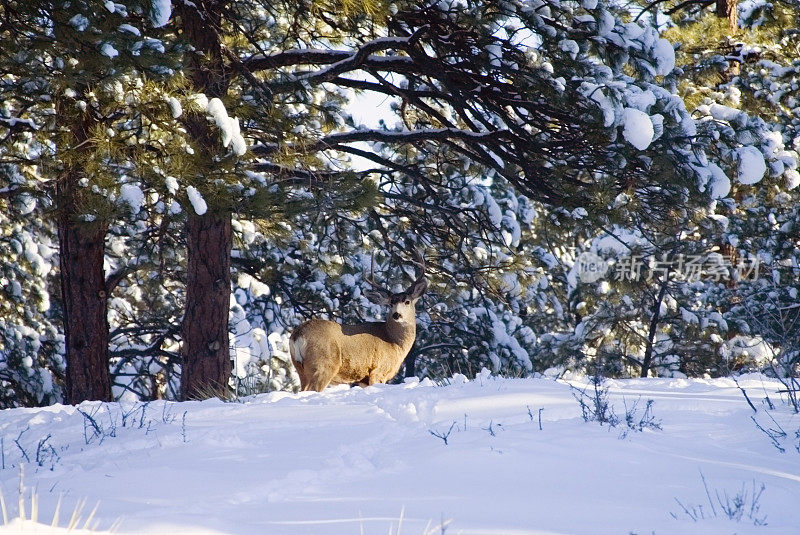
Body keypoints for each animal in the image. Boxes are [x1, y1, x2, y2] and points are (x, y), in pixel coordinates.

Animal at [290, 253, 428, 392]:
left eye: (407, 302)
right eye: (391, 303)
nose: (396, 314)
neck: (393, 341)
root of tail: (298, 335)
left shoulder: (363, 379)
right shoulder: (378, 370)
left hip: (300, 367)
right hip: (323, 363)